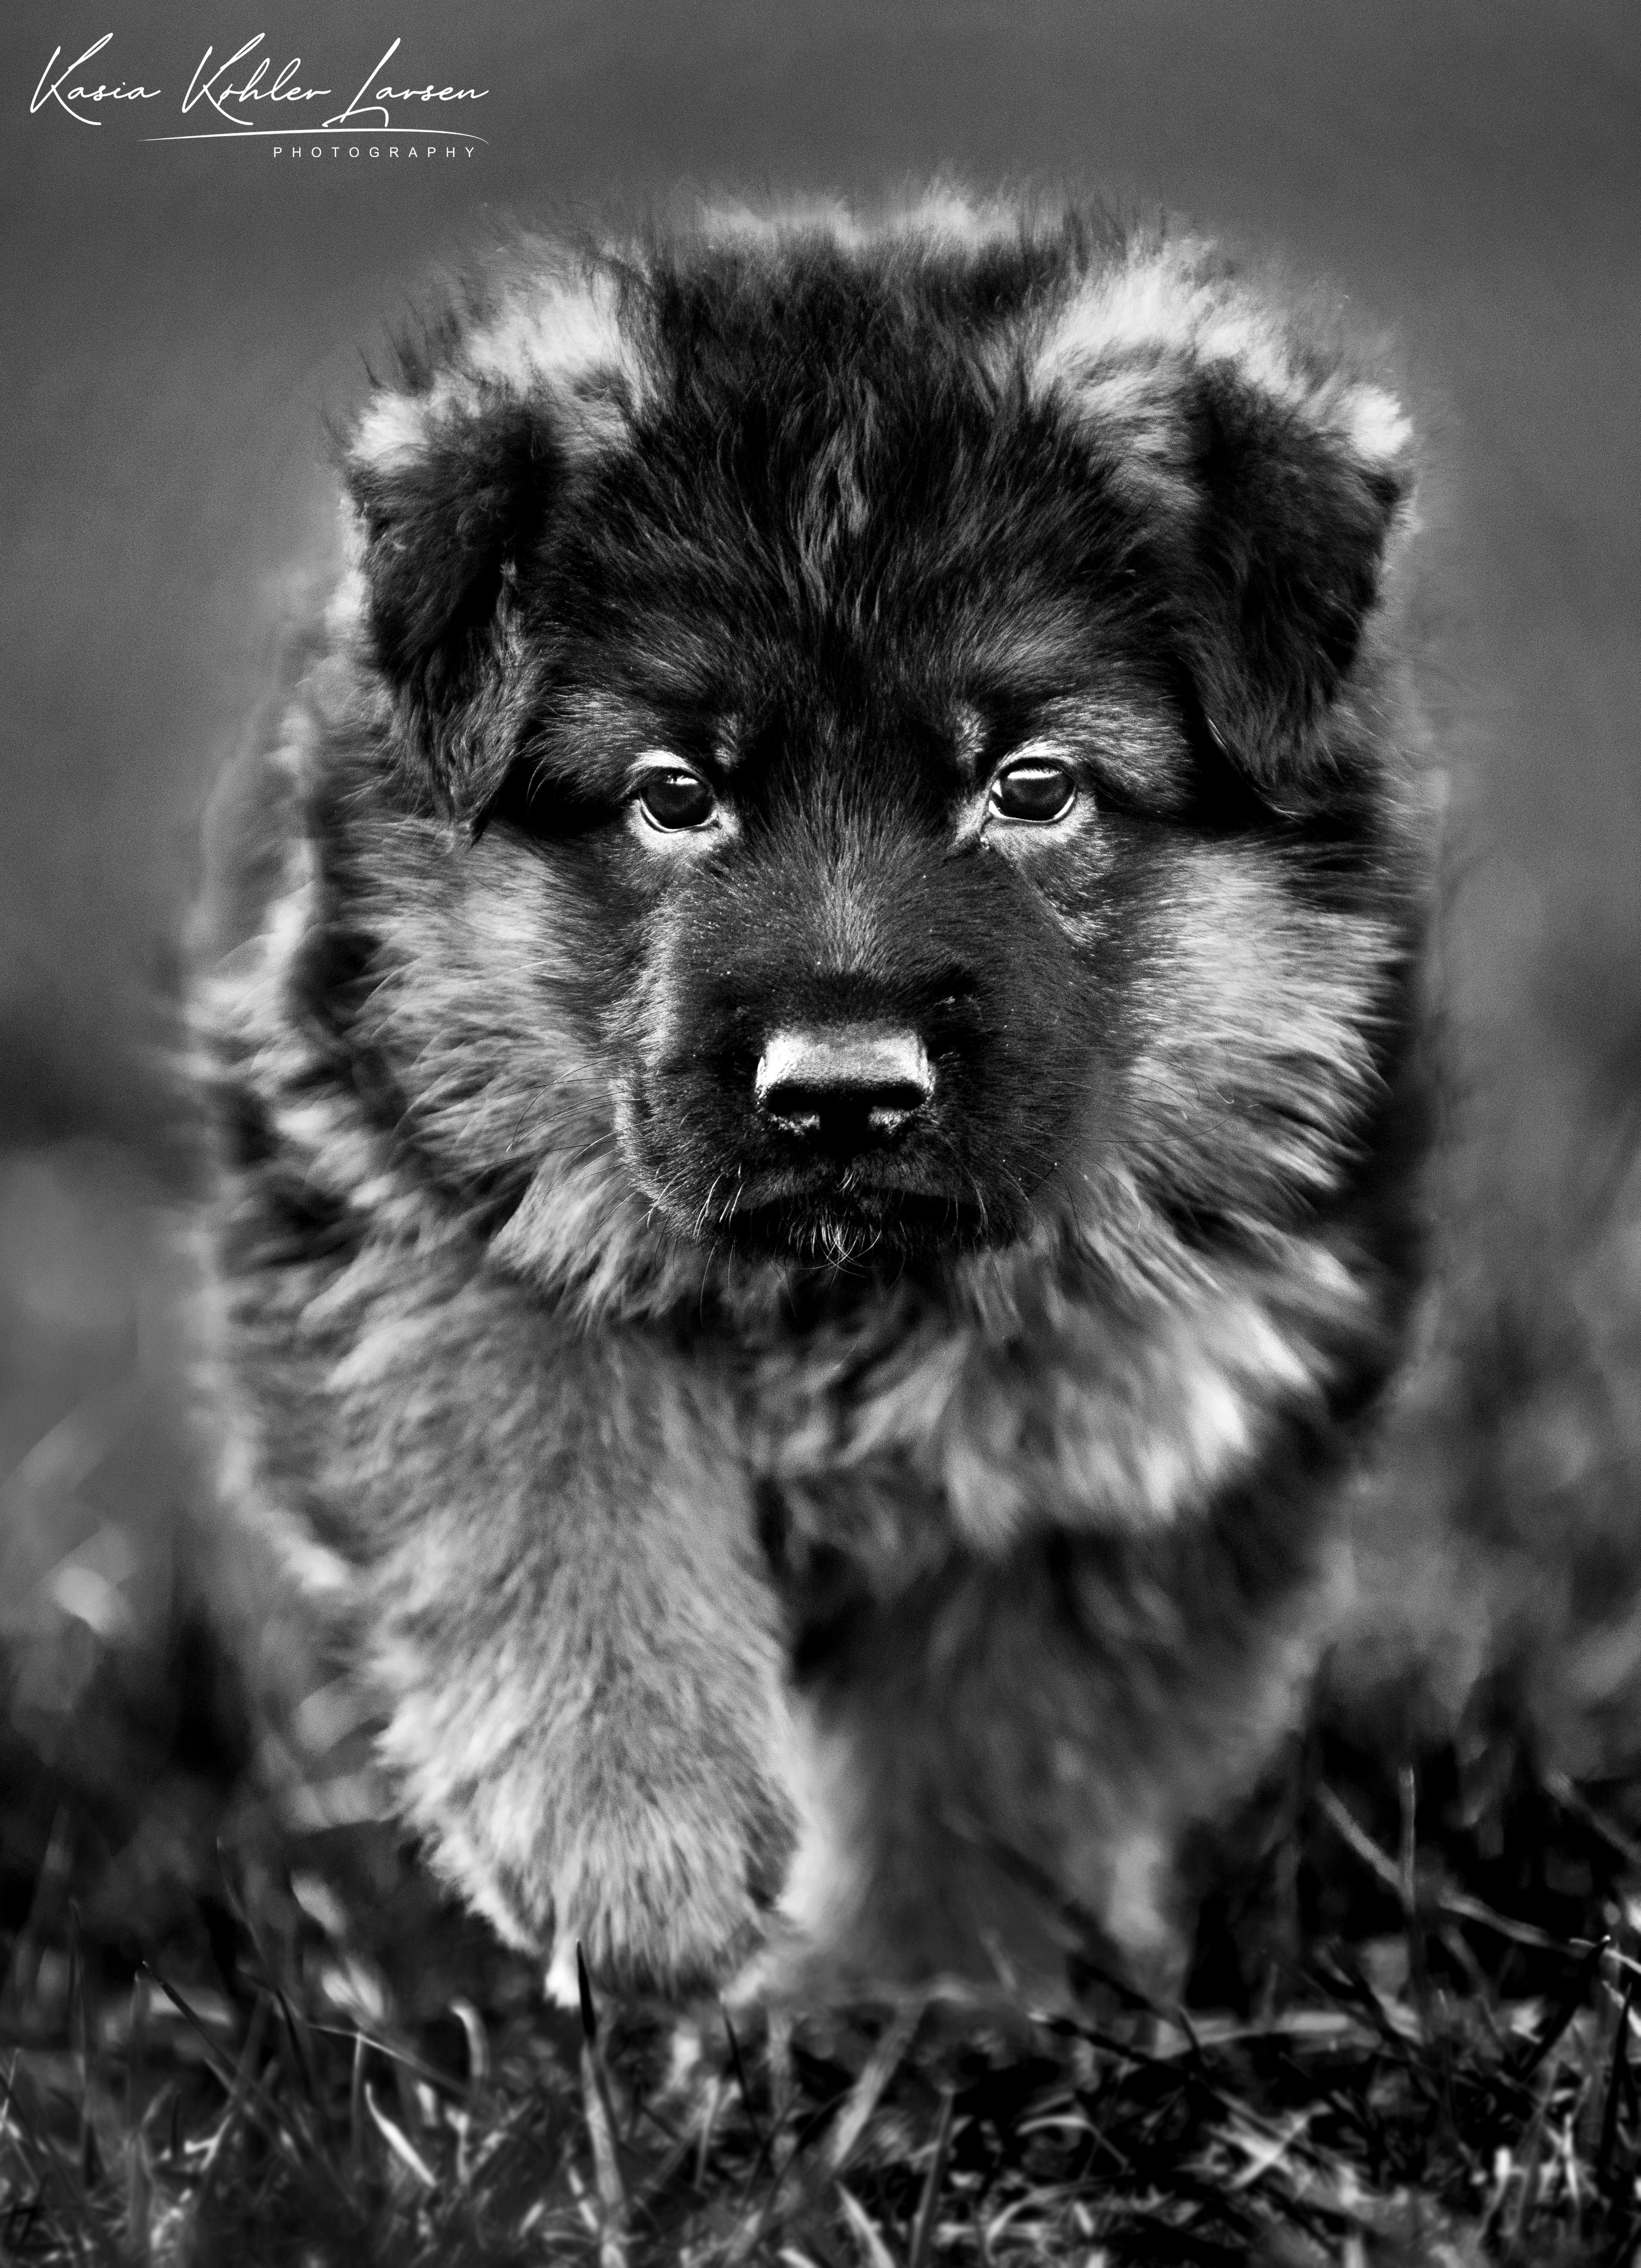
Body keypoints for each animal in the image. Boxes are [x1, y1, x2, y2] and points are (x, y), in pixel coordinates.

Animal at [194, 191, 1436, 2004]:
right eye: (674, 794)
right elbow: (542, 1447)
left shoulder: (1158, 1382)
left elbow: (1006, 1717)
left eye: (1030, 786)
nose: (841, 1095)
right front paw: (629, 1832)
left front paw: (929, 1986)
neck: (836, 1297)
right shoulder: (411, 1191)